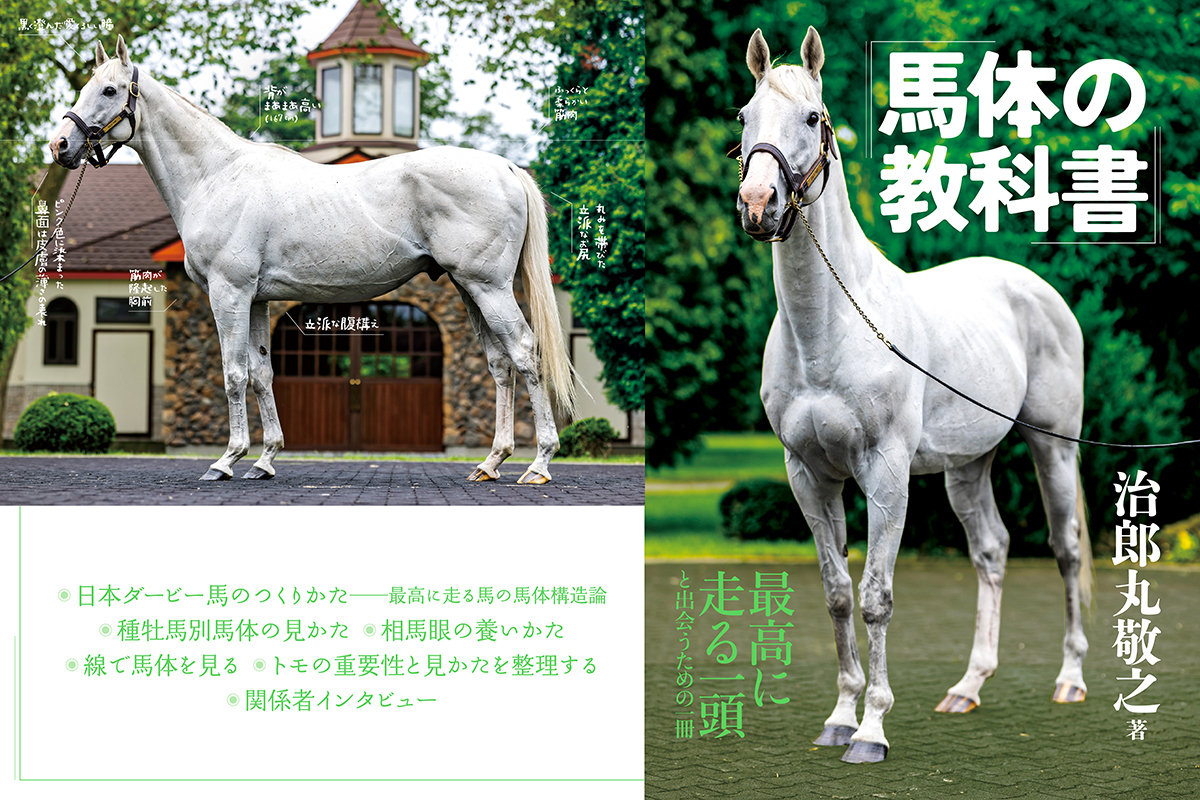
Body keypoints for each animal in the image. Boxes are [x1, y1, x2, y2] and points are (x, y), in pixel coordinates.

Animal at [48, 37, 576, 485]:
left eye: (110, 89)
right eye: (85, 87)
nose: (60, 146)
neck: (216, 176)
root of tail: (506, 167)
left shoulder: (229, 293)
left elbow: (234, 374)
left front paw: (226, 460)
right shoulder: (258, 300)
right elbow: (262, 374)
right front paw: (264, 460)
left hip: (489, 287)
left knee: (525, 353)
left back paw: (539, 464)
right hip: (470, 288)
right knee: (500, 363)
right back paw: (491, 463)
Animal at [734, 27, 1092, 763]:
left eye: (811, 117)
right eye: (744, 118)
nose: (758, 205)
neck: (829, 332)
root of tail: (1034, 287)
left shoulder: (885, 473)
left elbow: (877, 597)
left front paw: (872, 730)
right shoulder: (809, 475)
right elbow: (838, 594)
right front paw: (839, 717)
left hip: (1054, 447)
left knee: (1065, 548)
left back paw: (1070, 680)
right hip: (967, 466)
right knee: (992, 550)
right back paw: (968, 687)